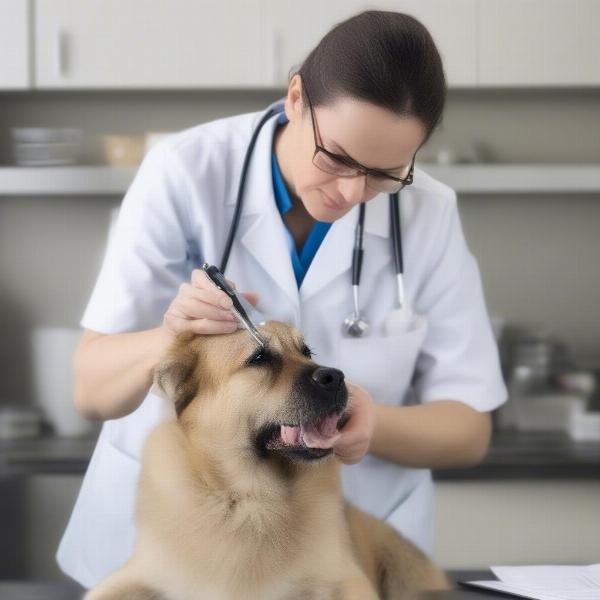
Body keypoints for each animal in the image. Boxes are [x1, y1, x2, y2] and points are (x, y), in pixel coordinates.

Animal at [85, 322, 450, 596]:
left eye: (307, 351)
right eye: (260, 356)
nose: (336, 377)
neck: (252, 499)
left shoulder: (344, 578)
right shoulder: (138, 574)